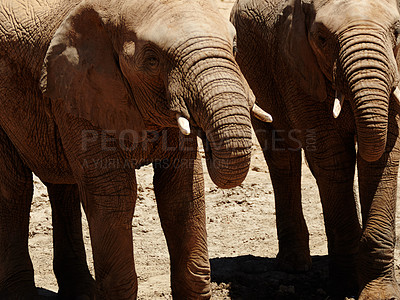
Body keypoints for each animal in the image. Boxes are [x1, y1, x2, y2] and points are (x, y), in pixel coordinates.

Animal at [0, 0, 272, 298]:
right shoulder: (80, 90)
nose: (207, 140)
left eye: (234, 48)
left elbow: (182, 189)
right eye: (152, 60)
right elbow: (114, 194)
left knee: (62, 186)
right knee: (14, 190)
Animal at [233, 0, 400, 298]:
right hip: (252, 70)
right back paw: (294, 266)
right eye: (321, 39)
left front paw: (379, 294)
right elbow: (333, 158)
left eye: (397, 32)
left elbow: (383, 158)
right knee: (282, 158)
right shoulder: (295, 69)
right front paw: (345, 287)